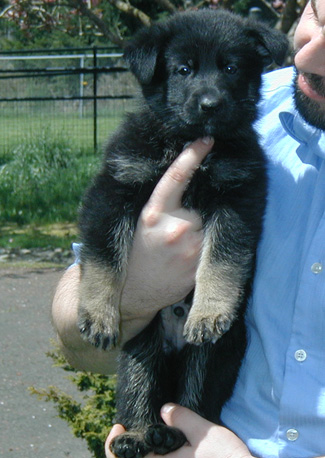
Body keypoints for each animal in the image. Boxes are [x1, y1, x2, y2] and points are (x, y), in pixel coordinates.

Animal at [78, 8, 286, 458]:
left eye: (230, 68)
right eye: (183, 69)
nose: (210, 104)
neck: (186, 140)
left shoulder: (236, 201)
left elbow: (222, 261)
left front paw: (208, 310)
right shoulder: (116, 187)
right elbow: (102, 257)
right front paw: (97, 312)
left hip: (212, 357)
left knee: (195, 403)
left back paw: (172, 434)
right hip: (141, 350)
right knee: (139, 394)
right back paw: (140, 435)